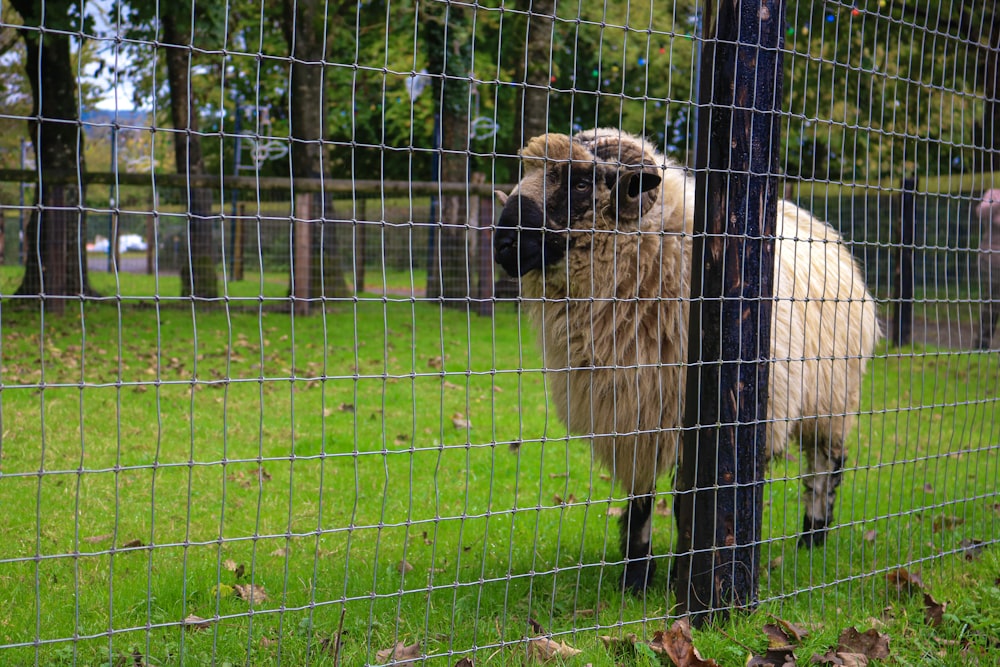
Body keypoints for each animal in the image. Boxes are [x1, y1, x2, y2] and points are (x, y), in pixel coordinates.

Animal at [494, 129, 884, 596]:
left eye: (582, 183)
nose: (502, 243)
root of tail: (819, 226)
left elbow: (687, 500)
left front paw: (686, 572)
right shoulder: (634, 413)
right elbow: (641, 498)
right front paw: (635, 577)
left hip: (833, 398)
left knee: (825, 467)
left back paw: (813, 534)